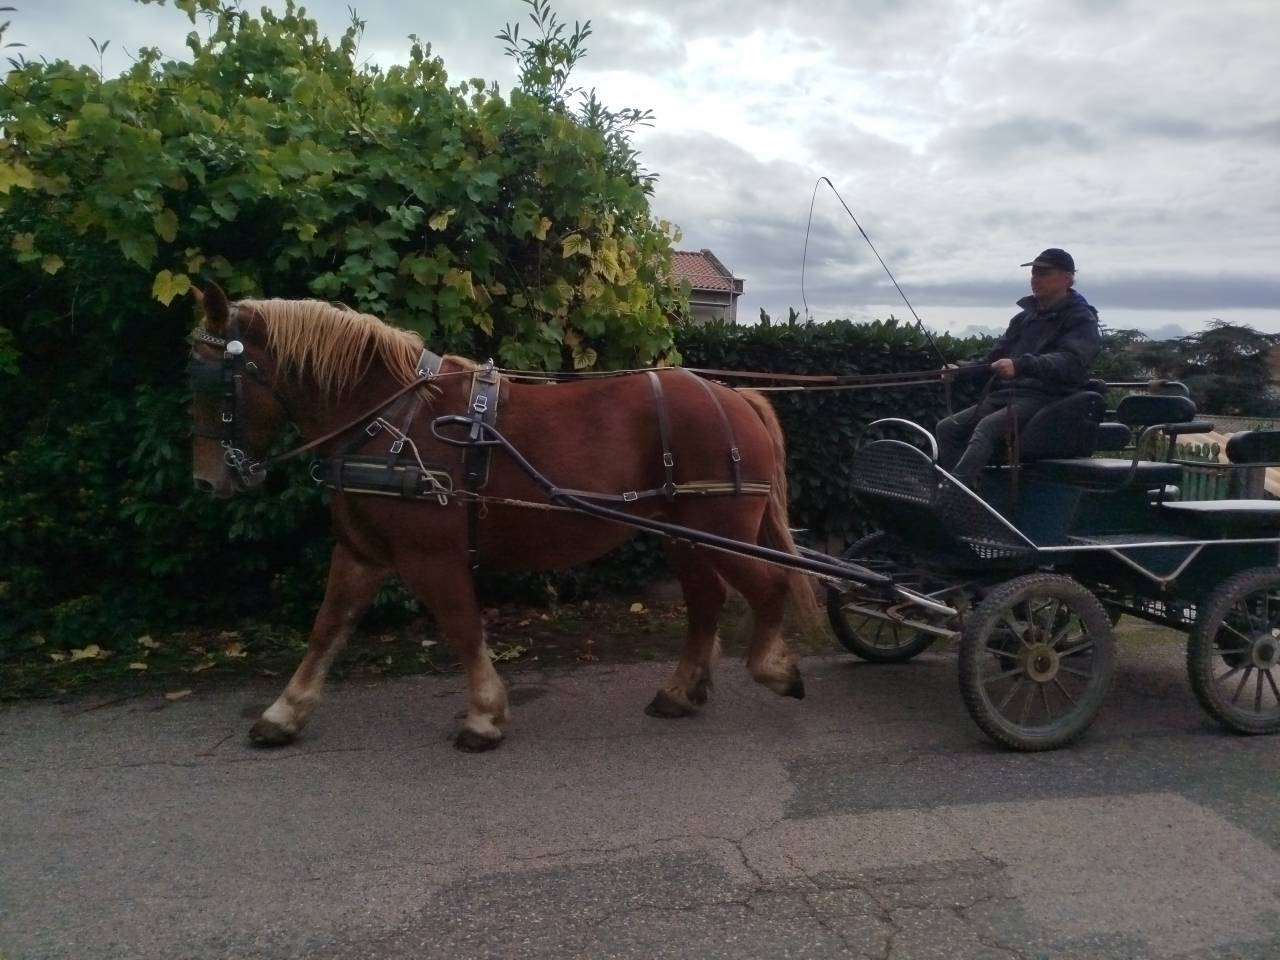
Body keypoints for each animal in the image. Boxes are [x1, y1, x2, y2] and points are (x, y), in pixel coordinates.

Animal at [188, 282, 818, 751]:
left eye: (216, 382)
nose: (206, 480)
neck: (389, 419)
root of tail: (735, 396)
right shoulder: (362, 552)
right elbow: (327, 628)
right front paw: (284, 713)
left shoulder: (429, 555)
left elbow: (462, 626)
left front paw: (484, 717)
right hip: (684, 536)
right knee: (706, 602)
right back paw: (681, 691)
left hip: (718, 531)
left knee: (770, 587)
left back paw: (772, 668)